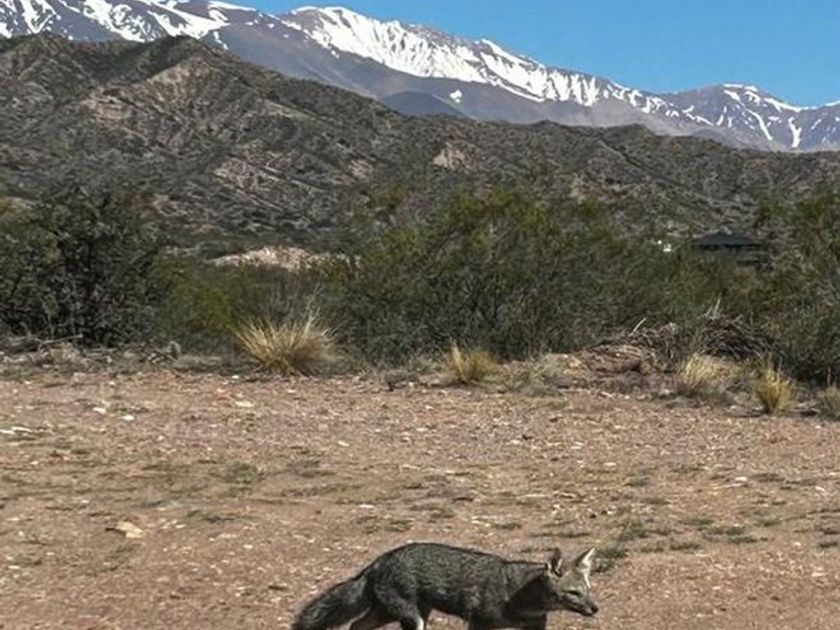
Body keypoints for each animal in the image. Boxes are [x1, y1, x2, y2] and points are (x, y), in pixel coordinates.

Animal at [292, 542, 598, 630]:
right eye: (574, 593)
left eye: (588, 589)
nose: (595, 609)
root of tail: (380, 560)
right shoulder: (479, 624)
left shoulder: (534, 627)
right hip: (411, 618)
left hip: (392, 613)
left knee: (356, 625)